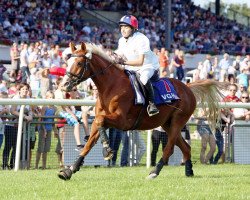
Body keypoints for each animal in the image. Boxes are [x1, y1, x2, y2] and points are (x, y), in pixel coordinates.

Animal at [58, 41, 225, 180]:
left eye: (79, 62)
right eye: (67, 62)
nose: (64, 85)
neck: (111, 86)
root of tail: (187, 87)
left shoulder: (122, 121)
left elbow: (100, 121)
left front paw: (107, 150)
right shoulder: (103, 119)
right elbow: (90, 140)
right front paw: (70, 170)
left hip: (178, 121)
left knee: (169, 148)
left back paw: (154, 172)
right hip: (167, 124)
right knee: (186, 147)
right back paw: (189, 171)